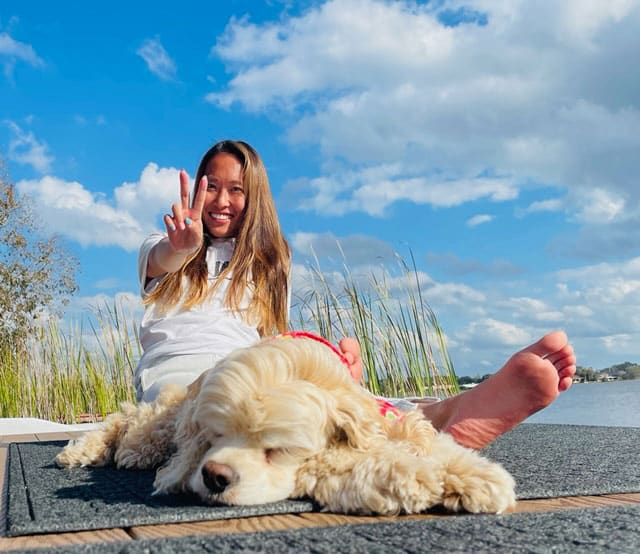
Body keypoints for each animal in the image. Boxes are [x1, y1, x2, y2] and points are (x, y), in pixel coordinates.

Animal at [53, 332, 516, 512]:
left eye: (275, 448)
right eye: (215, 436)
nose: (215, 476)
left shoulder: (391, 421)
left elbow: (435, 446)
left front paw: (477, 479)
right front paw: (411, 478)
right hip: (166, 415)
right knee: (130, 420)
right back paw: (92, 450)